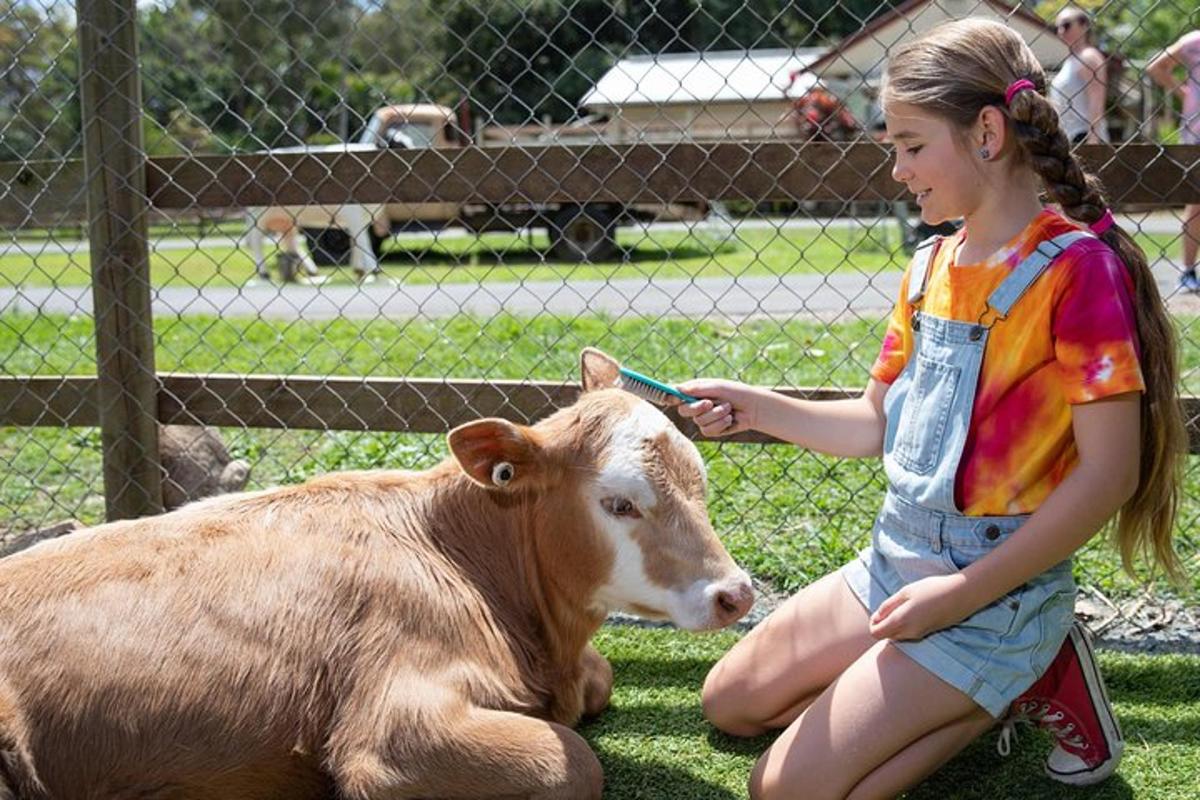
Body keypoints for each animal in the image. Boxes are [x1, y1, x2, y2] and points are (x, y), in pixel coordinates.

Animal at [0, 347, 748, 800]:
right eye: (620, 503)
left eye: (700, 481)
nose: (735, 593)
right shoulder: (394, 725)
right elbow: (574, 762)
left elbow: (602, 676)